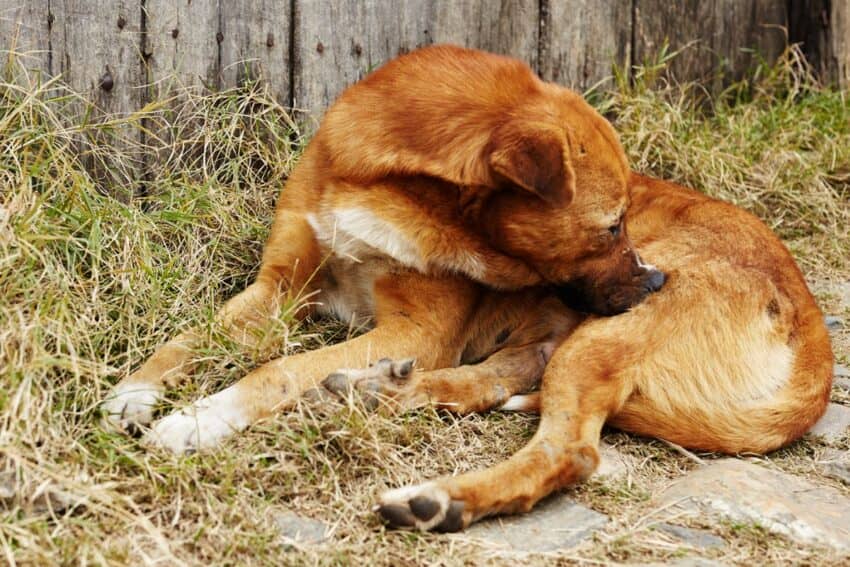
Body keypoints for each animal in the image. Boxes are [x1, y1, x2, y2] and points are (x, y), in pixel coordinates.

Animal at [102, 44, 832, 532]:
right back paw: (376, 391)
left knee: (569, 448)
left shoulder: (417, 330)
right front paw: (133, 393)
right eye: (611, 226)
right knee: (500, 379)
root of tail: (813, 325)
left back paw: (438, 496)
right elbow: (186, 339)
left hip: (600, 338)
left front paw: (198, 420)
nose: (655, 278)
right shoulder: (278, 291)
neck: (391, 187)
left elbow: (276, 370)